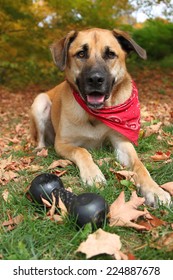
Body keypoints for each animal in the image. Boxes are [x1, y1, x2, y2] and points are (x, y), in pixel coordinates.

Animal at [29, 27, 170, 208]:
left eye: (110, 54)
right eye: (81, 54)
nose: (95, 79)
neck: (95, 114)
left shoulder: (121, 142)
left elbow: (139, 165)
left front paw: (155, 190)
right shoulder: (62, 144)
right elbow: (81, 150)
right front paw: (93, 174)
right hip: (40, 101)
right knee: (40, 138)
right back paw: (40, 149)